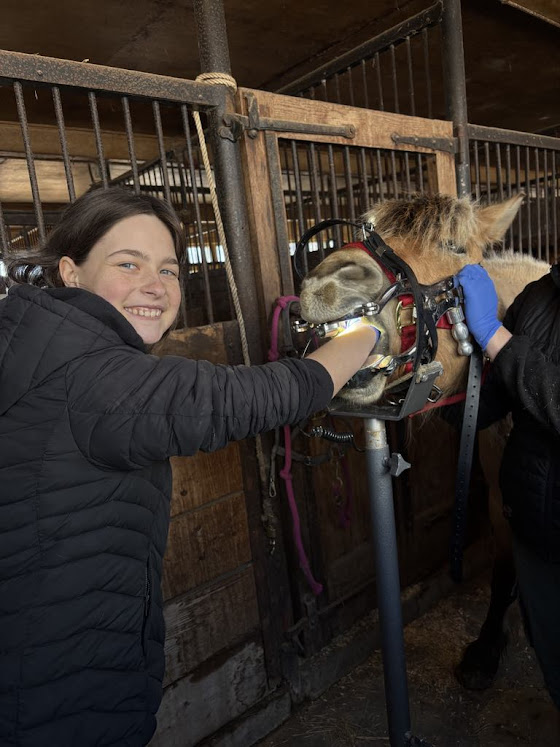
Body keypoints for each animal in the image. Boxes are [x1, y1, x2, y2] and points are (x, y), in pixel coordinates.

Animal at [298, 193, 549, 690]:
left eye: (453, 245)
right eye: (370, 229)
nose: (329, 282)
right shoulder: (500, 498)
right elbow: (503, 572)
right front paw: (486, 650)